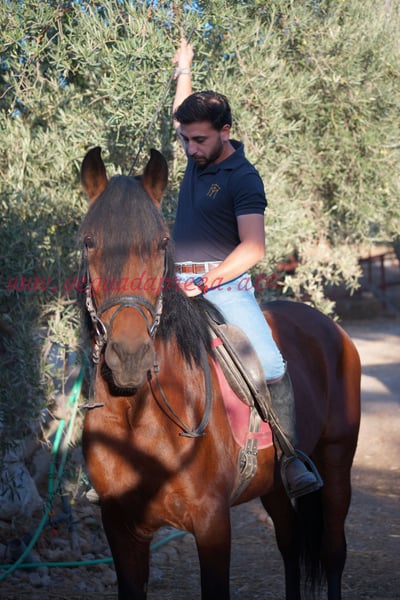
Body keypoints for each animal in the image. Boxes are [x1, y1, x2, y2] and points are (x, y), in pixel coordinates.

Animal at [78, 146, 361, 600]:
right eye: (89, 242)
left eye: (161, 244)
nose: (129, 356)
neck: (140, 417)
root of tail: (329, 327)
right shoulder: (121, 528)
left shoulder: (212, 524)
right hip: (275, 485)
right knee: (290, 544)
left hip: (336, 461)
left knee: (333, 551)